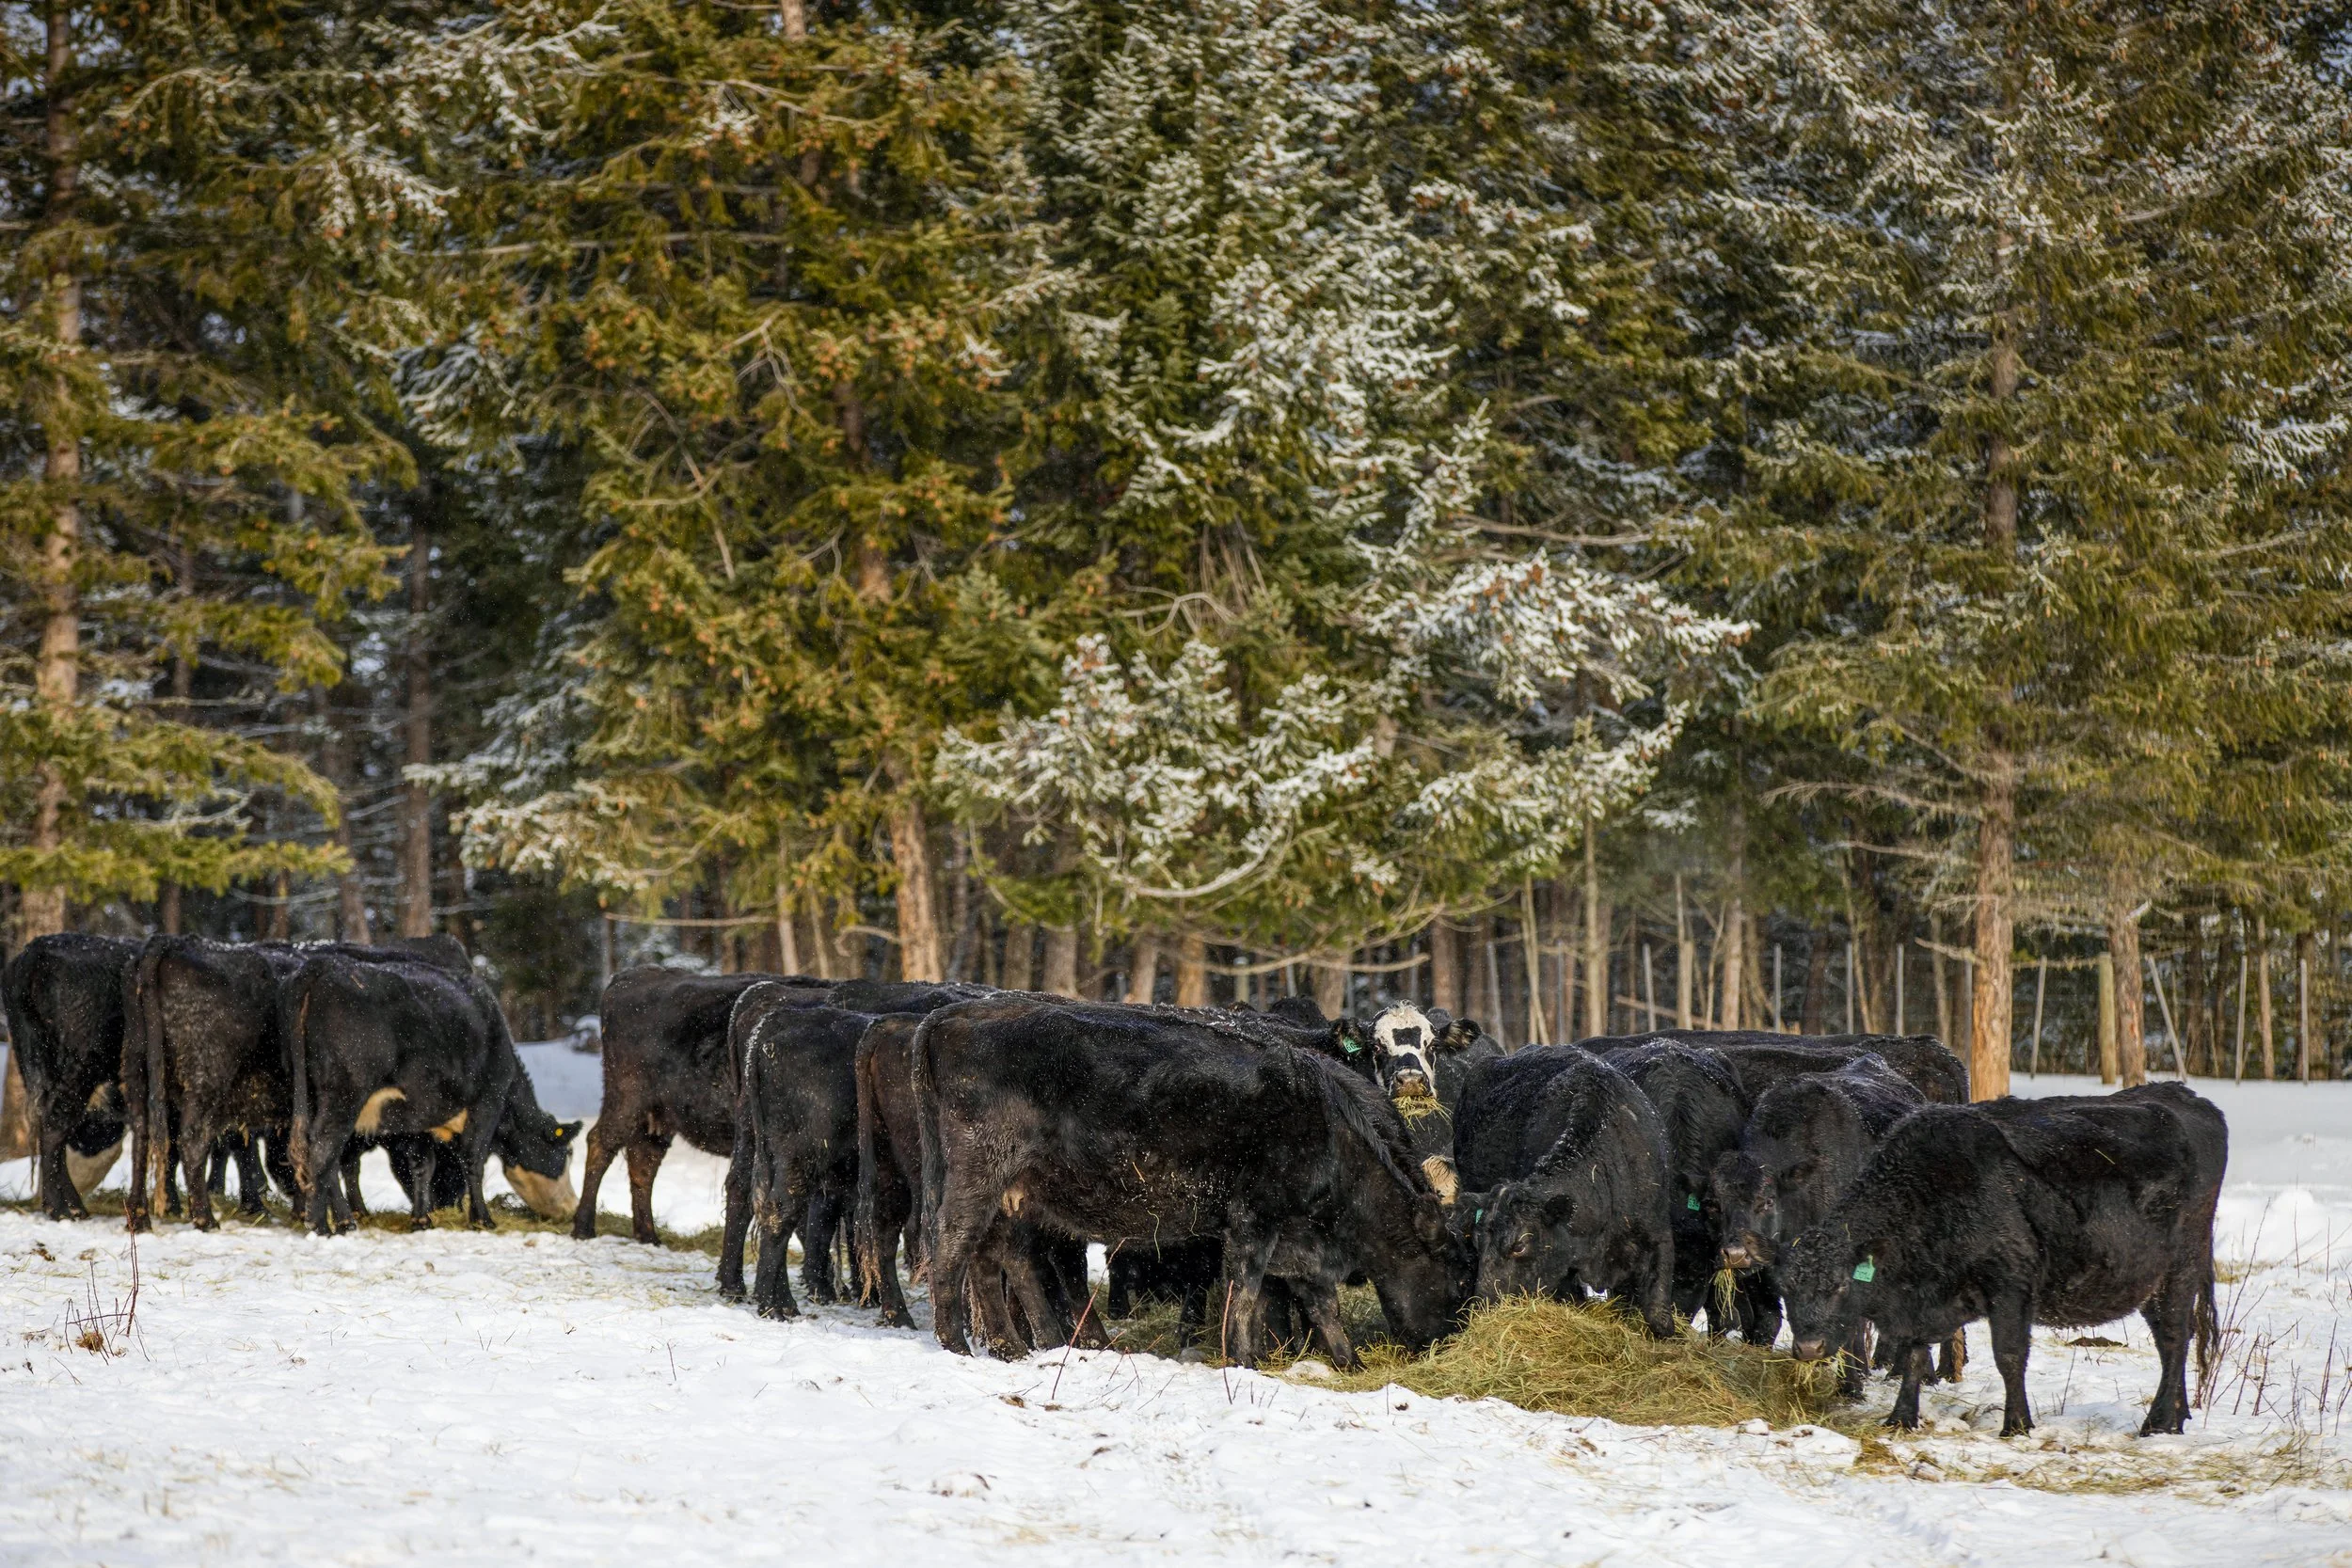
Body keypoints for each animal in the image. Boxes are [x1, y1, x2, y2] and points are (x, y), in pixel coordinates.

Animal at [915, 996, 1464, 1368]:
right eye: (1452, 1270)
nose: (1445, 1339)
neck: (1330, 1125)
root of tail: (951, 1016)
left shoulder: (1299, 1239)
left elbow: (1318, 1302)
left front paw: (1349, 1361)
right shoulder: (1254, 1218)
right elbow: (1246, 1289)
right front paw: (1244, 1359)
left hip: (1012, 1193)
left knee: (1000, 1256)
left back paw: (1017, 1347)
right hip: (977, 1174)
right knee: (954, 1246)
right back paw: (957, 1346)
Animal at [1780, 1083, 2228, 1436]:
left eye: (1840, 1284)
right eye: (1785, 1288)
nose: (1808, 1347)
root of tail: (2185, 1096)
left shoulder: (2010, 1286)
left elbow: (2009, 1356)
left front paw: (2017, 1425)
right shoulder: (1921, 1304)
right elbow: (1914, 1357)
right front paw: (1901, 1418)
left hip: (2181, 1268)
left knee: (2174, 1338)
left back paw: (2158, 1422)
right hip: (2149, 1282)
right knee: (2174, 1339)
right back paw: (2178, 1414)